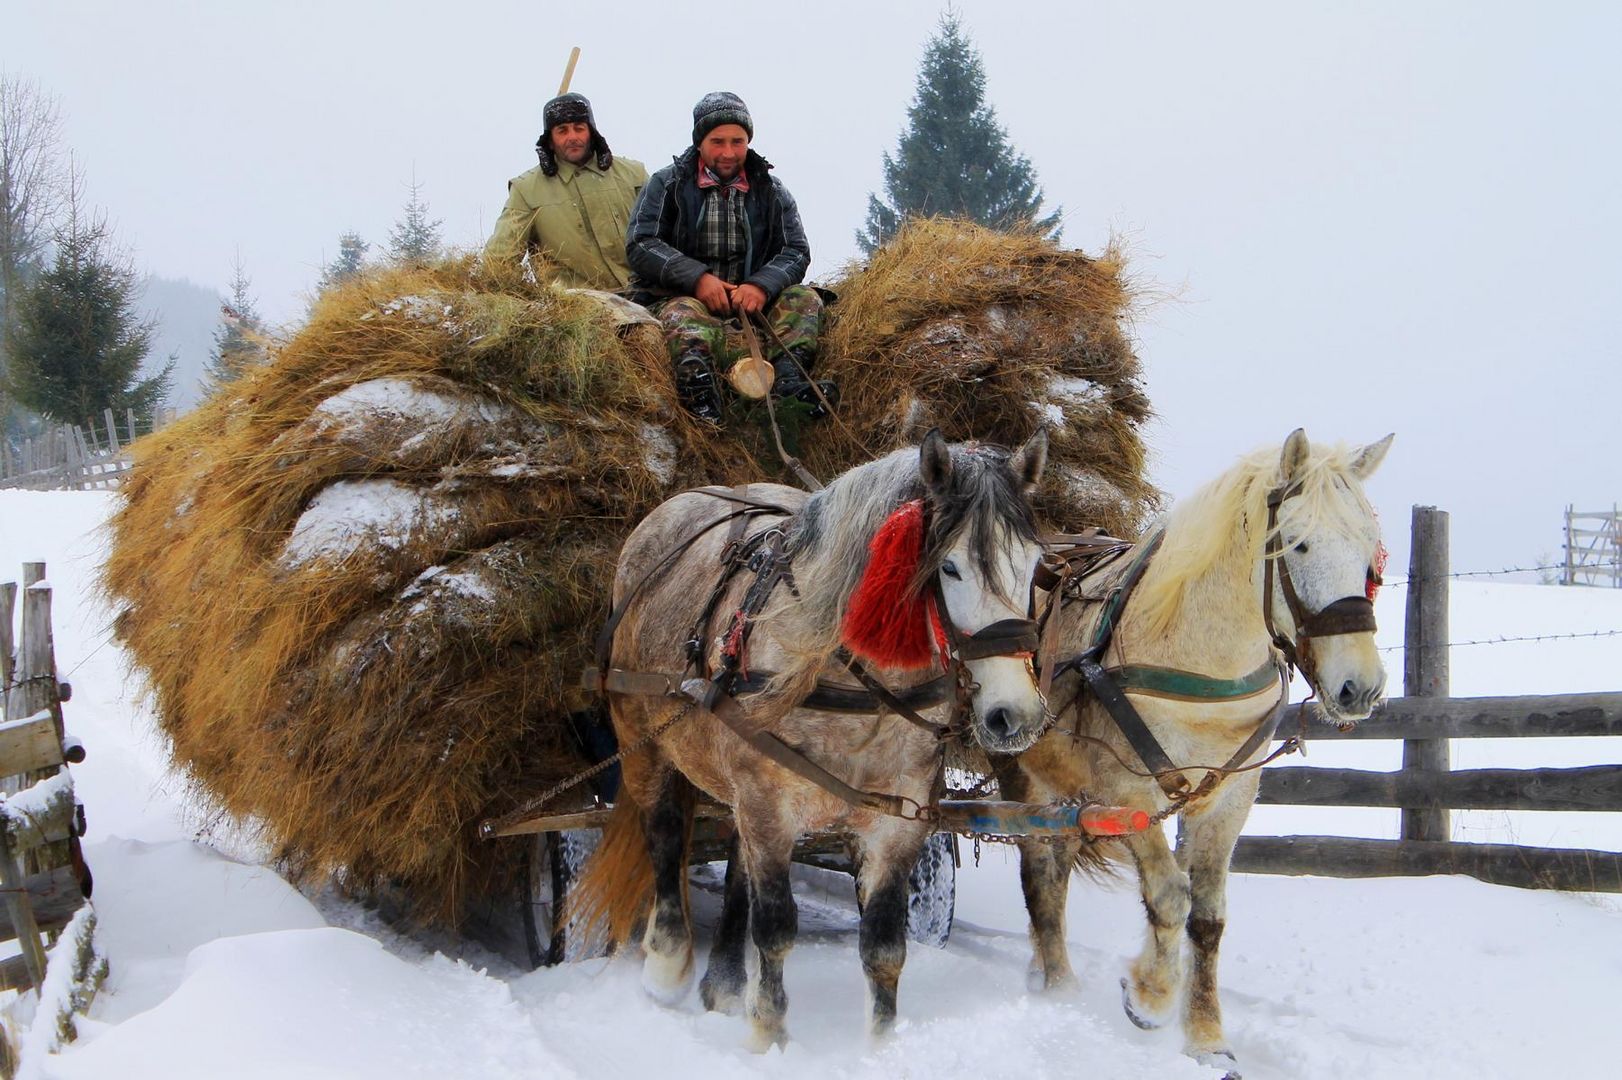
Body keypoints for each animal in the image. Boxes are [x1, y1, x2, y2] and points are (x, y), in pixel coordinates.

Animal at [1005, 424, 1388, 1070]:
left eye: (1370, 552)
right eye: (1297, 546)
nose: (1358, 688)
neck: (1201, 663)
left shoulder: (1229, 798)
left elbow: (1207, 918)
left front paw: (1207, 1037)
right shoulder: (1128, 791)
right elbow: (1167, 895)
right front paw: (1151, 996)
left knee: (1055, 868)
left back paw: (1043, 968)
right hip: (1022, 774)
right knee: (1039, 875)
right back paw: (1058, 984)